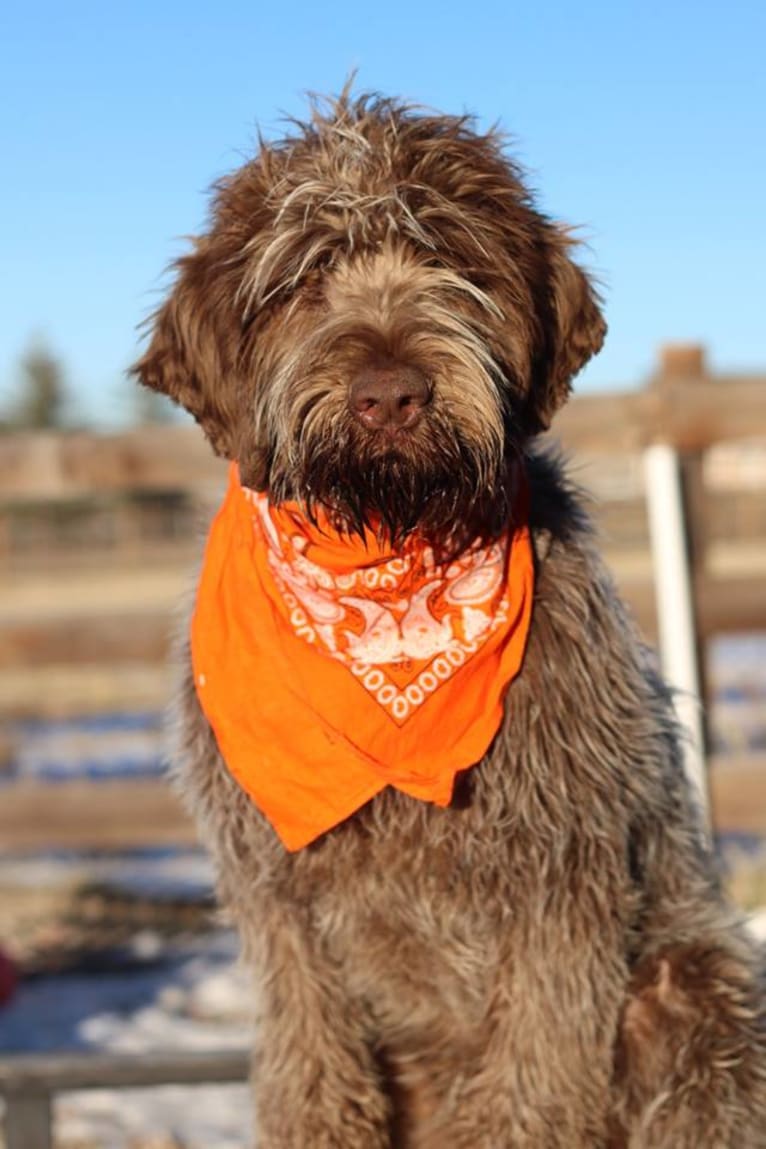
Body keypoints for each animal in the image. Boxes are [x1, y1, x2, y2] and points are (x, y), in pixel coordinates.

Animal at [133, 94, 766, 1144]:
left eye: (454, 264)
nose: (390, 394)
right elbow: (312, 1069)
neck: (394, 569)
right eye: (303, 276)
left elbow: (536, 1073)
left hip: (688, 987)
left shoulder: (564, 878)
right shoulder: (278, 906)